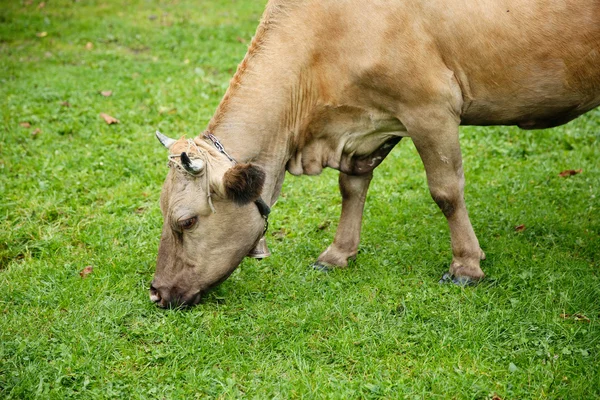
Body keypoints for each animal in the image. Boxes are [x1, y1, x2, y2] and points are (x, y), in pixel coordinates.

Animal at [148, 0, 596, 310]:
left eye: (186, 221)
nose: (155, 292)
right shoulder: (365, 123)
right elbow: (351, 187)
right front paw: (337, 254)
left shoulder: (431, 108)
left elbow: (446, 192)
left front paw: (466, 266)